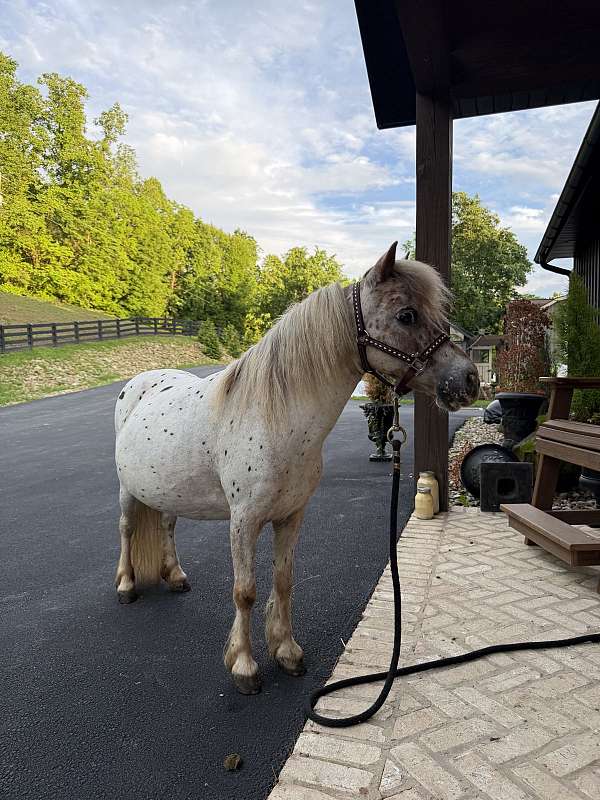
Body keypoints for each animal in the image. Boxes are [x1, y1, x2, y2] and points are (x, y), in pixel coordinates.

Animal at [113, 242, 479, 694]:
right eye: (407, 315)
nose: (469, 380)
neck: (273, 418)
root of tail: (139, 383)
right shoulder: (244, 521)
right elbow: (245, 591)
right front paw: (245, 667)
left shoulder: (291, 515)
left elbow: (284, 581)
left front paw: (286, 652)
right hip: (127, 491)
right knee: (128, 529)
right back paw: (127, 585)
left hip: (166, 489)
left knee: (165, 524)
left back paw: (176, 575)